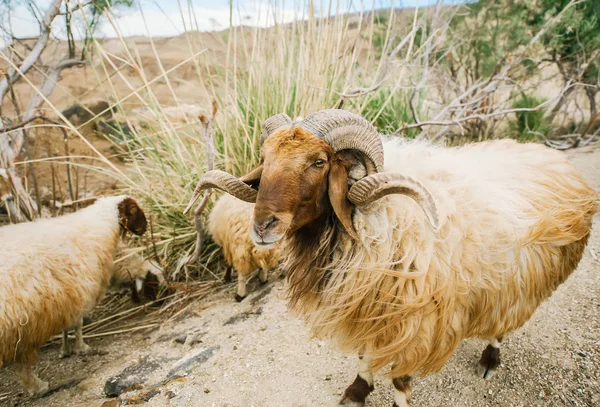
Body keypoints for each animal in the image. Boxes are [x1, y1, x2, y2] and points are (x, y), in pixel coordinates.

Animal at [0, 196, 148, 396]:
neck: (100, 225)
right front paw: (80, 348)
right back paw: (39, 387)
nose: (145, 227)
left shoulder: (68, 296)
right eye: (134, 211)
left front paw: (66, 350)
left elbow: (66, 327)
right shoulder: (80, 290)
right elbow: (77, 324)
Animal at [185, 109, 596, 407]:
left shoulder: (415, 321)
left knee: (504, 322)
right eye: (264, 157)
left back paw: (490, 360)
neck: (374, 219)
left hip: (519, 280)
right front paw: (356, 392)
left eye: (319, 162)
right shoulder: (371, 308)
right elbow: (366, 359)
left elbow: (399, 377)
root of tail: (550, 154)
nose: (262, 225)